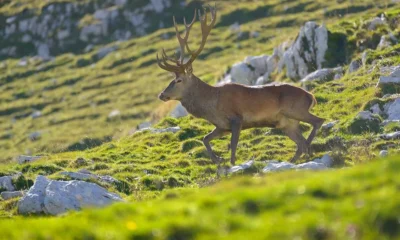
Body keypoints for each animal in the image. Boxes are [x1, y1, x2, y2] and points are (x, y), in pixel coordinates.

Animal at [156, 6, 324, 166]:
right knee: (300, 142)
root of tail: (311, 97)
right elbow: (205, 139)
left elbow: (233, 145)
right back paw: (297, 158)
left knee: (318, 122)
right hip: (287, 123)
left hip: (296, 109)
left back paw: (308, 150)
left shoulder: (237, 119)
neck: (211, 106)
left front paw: (230, 164)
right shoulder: (222, 126)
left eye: (179, 80)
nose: (161, 95)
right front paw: (218, 160)